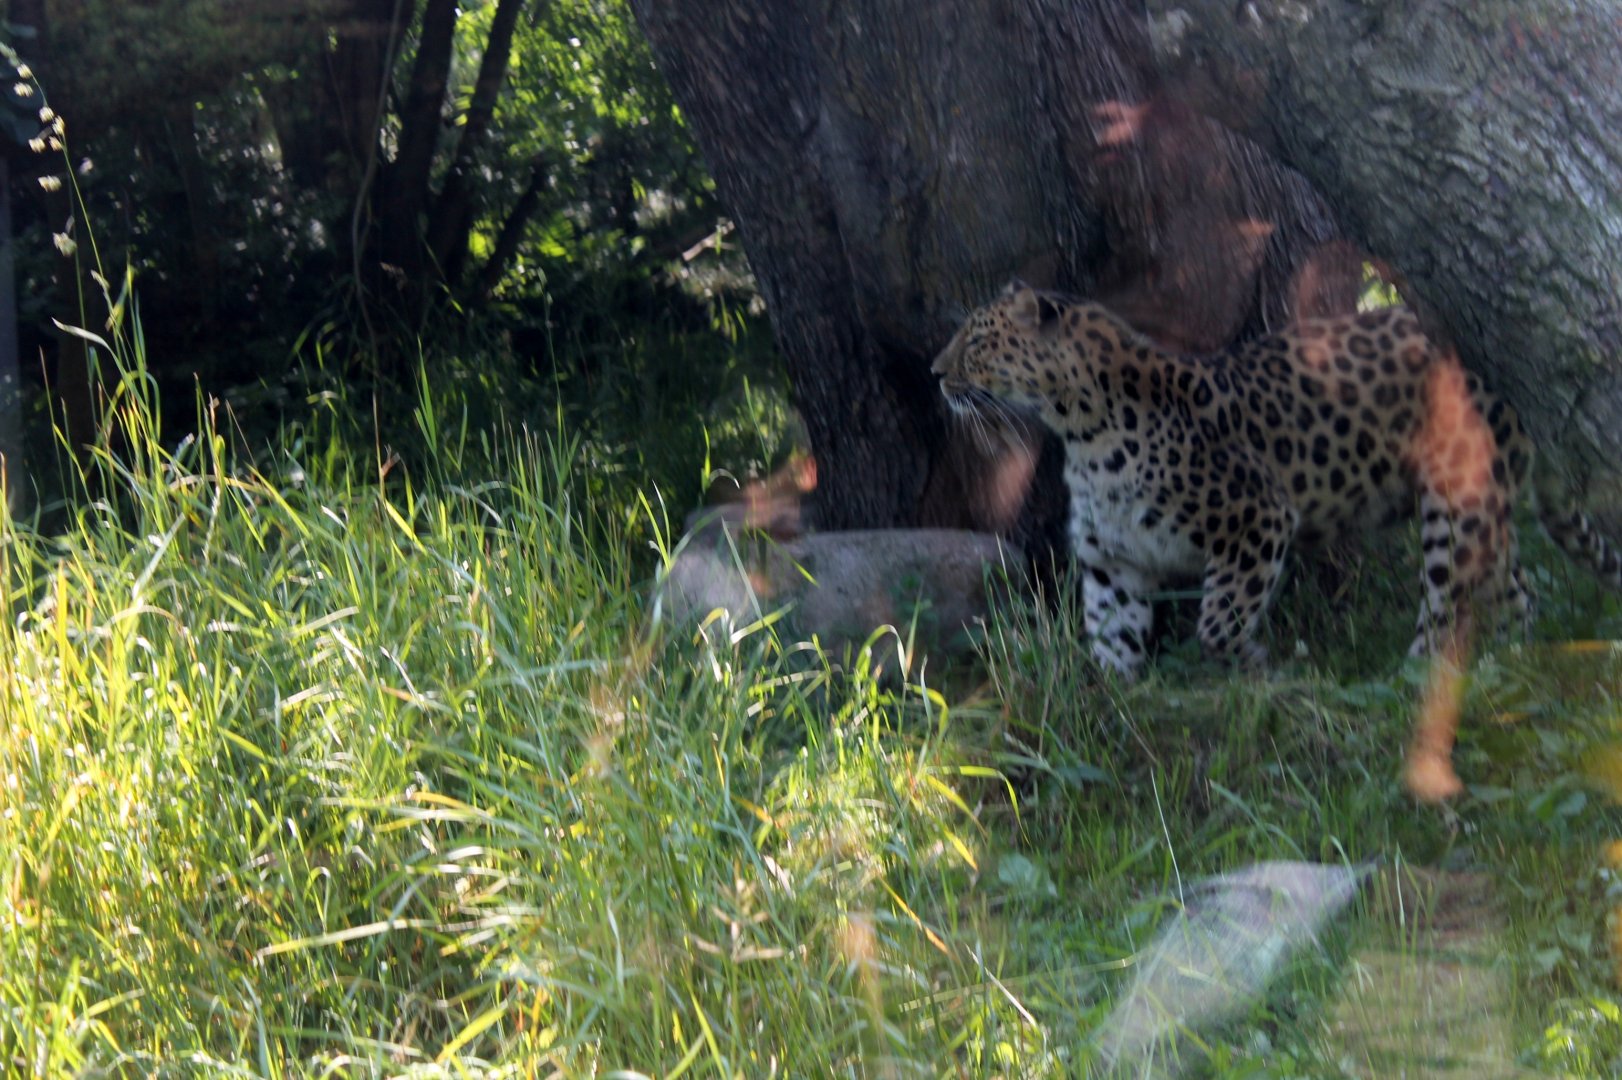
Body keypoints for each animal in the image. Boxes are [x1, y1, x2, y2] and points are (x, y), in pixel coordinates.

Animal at [932, 280, 1622, 680]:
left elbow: (1219, 621)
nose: (935, 371)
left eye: (977, 340)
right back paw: (1511, 661)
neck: (1081, 429)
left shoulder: (1255, 519)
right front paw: (1112, 703)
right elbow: (1111, 637)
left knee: (1451, 599)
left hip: (1455, 499)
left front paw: (1257, 666)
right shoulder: (1112, 561)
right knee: (1516, 587)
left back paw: (1414, 680)